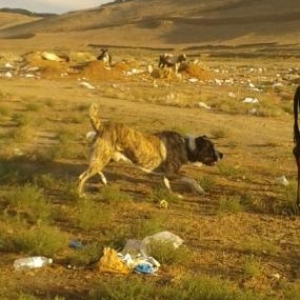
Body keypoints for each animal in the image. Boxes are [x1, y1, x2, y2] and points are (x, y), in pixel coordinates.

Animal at [78, 103, 224, 197]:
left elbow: (167, 184)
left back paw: (103, 180)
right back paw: (80, 195)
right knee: (82, 177)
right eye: (211, 148)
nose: (222, 154)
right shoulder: (172, 173)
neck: (186, 145)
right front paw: (199, 189)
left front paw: (173, 195)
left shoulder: (166, 174)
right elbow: (189, 179)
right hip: (103, 158)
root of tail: (101, 126)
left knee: (93, 169)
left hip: (107, 158)